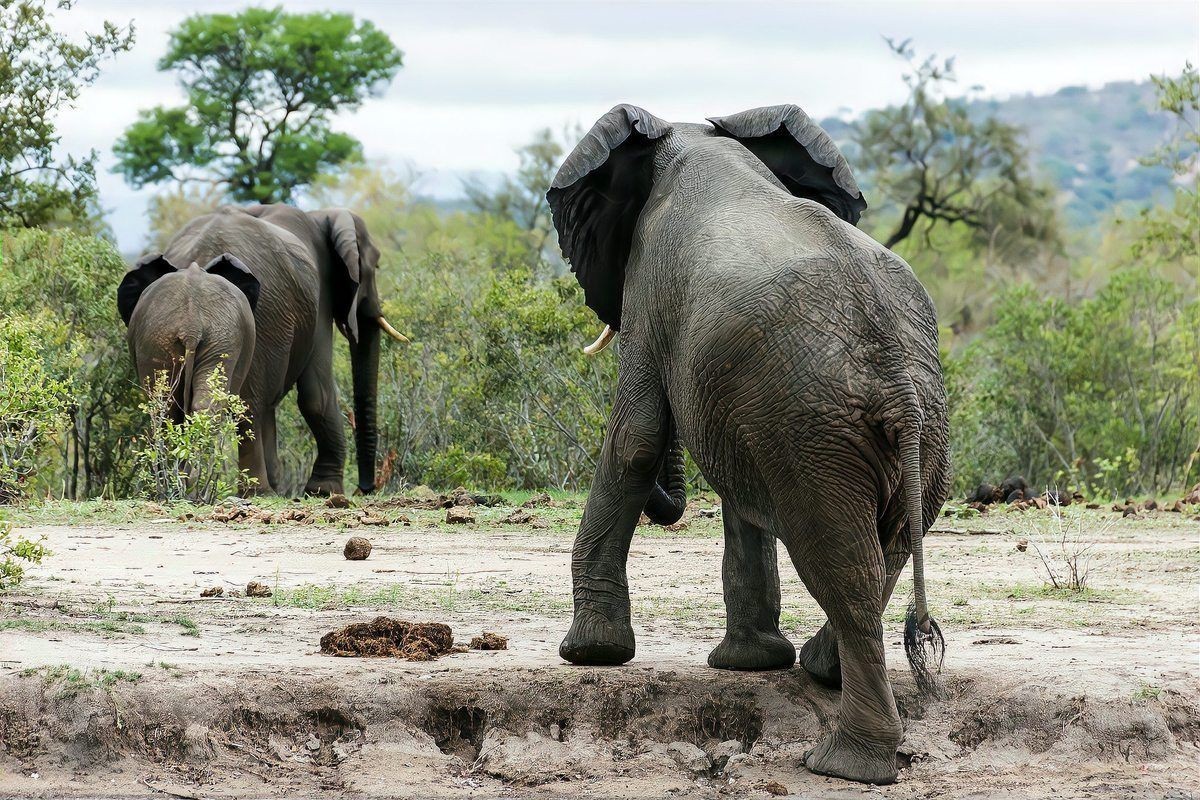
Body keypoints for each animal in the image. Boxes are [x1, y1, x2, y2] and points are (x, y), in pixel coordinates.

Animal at [117, 204, 407, 496]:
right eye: (376, 265)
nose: (366, 488)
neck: (320, 215)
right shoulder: (321, 300)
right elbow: (318, 393)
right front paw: (323, 491)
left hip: (169, 336)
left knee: (168, 406)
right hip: (265, 316)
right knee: (249, 405)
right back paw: (255, 492)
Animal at [547, 104, 950, 785]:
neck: (692, 139)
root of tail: (895, 368)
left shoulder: (649, 280)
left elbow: (635, 436)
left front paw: (589, 654)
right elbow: (737, 488)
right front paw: (751, 665)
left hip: (818, 435)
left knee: (841, 564)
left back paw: (842, 764)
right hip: (881, 427)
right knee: (882, 551)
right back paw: (822, 673)